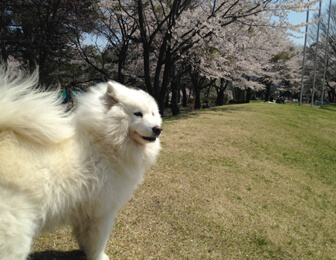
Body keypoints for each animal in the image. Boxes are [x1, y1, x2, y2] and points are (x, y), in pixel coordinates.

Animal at [0, 69, 163, 260]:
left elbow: (85, 237)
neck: (105, 142)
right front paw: (99, 257)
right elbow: (98, 241)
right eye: (138, 113)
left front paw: (84, 251)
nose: (158, 129)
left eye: (153, 113)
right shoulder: (103, 212)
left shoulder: (84, 211)